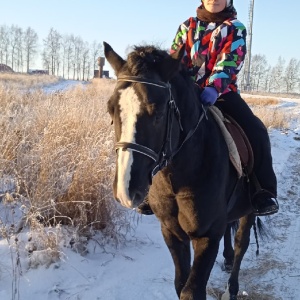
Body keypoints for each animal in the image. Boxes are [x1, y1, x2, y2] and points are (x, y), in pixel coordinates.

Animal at [104, 42, 256, 300]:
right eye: (111, 109)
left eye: (157, 112)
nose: (126, 191)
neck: (178, 180)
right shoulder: (171, 232)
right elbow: (179, 284)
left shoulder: (207, 237)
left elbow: (191, 291)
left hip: (251, 211)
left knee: (240, 244)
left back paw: (232, 288)